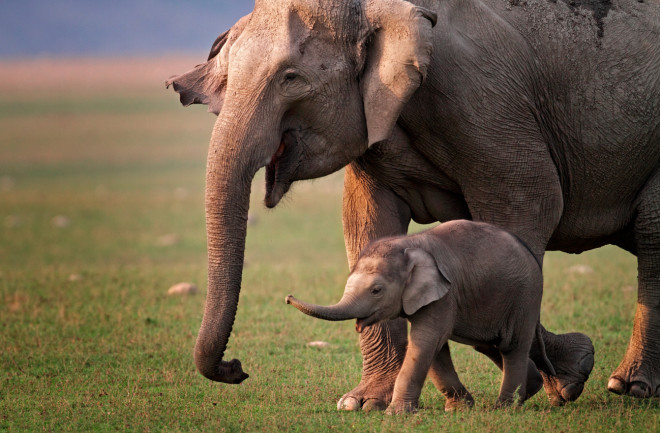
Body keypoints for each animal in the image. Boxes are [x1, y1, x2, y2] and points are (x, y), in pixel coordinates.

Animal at [286, 221, 556, 414]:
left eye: (376, 290)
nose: (287, 297)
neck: (408, 245)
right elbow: (435, 348)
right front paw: (458, 409)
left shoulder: (444, 294)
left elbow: (426, 340)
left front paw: (396, 414)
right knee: (488, 345)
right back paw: (530, 388)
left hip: (525, 297)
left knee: (512, 347)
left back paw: (504, 408)